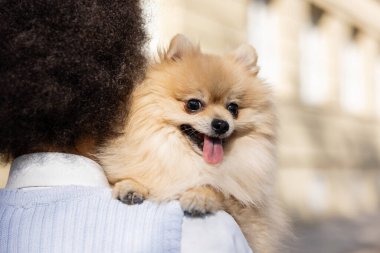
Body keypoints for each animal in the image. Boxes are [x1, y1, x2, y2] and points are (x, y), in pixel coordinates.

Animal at [99, 34, 286, 252]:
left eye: (233, 108)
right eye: (193, 105)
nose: (221, 124)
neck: (189, 159)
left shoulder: (250, 218)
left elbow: (219, 190)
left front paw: (200, 196)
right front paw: (131, 185)